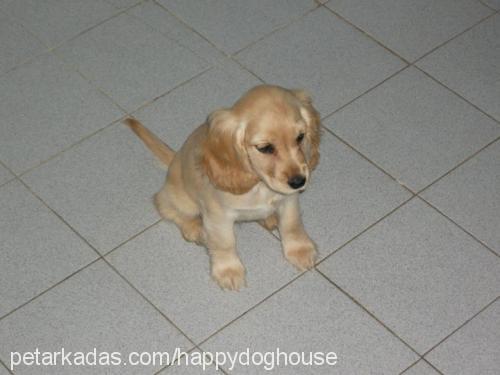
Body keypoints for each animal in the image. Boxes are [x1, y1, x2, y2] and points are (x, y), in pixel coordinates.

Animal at [125, 85, 320, 290]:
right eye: (265, 148)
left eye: (300, 137)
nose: (299, 181)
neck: (260, 185)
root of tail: (174, 158)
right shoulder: (218, 216)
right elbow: (224, 243)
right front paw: (228, 271)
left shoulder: (289, 200)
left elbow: (292, 224)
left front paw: (300, 251)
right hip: (182, 200)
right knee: (165, 206)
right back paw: (195, 228)